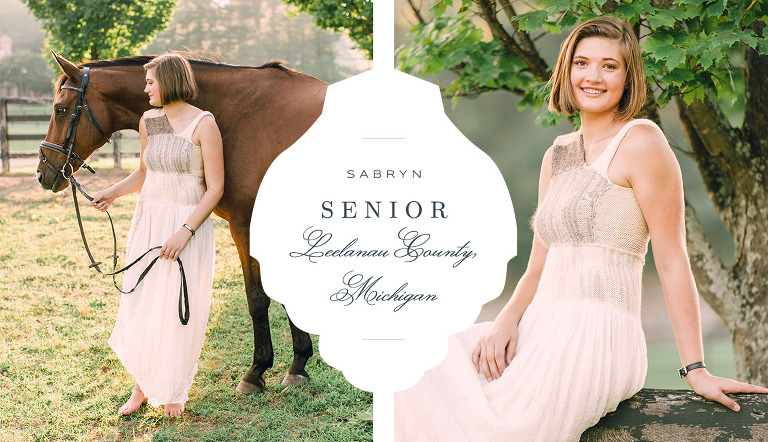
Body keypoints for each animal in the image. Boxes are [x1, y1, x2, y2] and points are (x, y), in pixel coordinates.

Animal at [39, 52, 328, 394]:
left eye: (60, 109)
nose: (43, 172)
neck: (242, 115)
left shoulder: (245, 224)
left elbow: (257, 297)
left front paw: (256, 371)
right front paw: (298, 365)